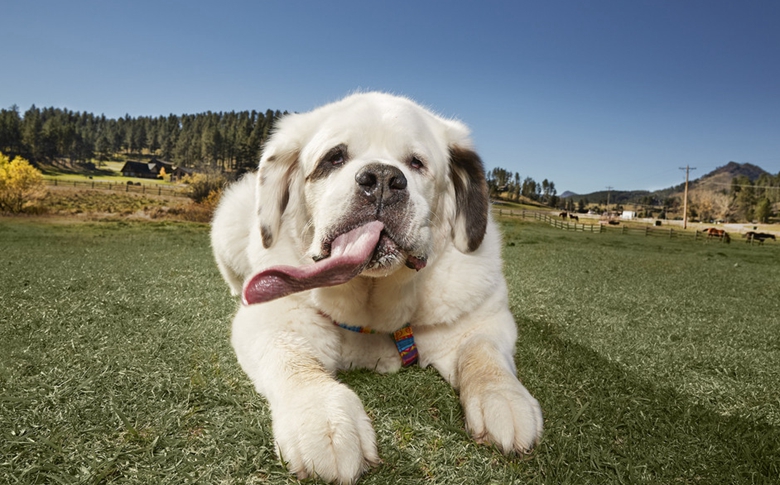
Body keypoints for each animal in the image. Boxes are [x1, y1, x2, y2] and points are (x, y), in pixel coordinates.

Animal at [210, 92, 544, 482]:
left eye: (416, 163)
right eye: (334, 158)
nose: (383, 178)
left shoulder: (485, 317)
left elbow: (483, 352)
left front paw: (504, 400)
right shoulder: (269, 320)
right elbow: (294, 360)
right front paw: (325, 421)